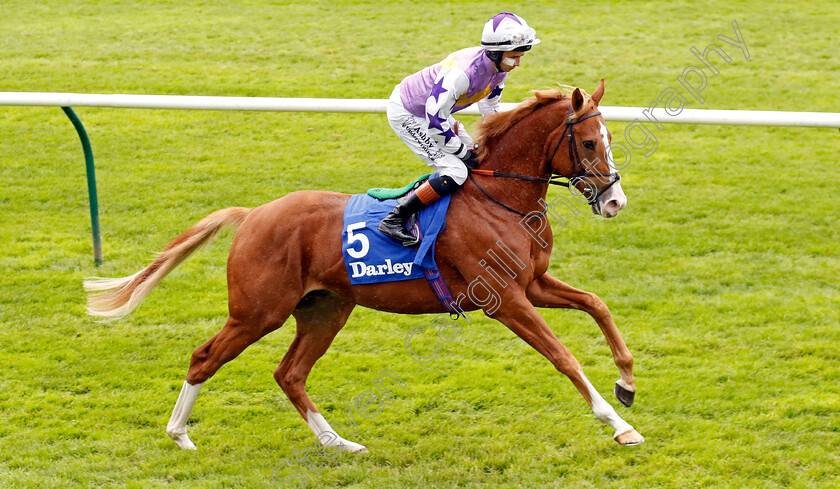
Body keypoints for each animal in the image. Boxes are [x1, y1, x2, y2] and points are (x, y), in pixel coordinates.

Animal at [83, 80, 644, 450]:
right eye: (589, 142)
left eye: (609, 139)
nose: (615, 201)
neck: (499, 197)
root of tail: (253, 214)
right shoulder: (504, 300)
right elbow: (564, 357)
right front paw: (618, 425)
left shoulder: (534, 283)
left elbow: (597, 305)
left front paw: (627, 384)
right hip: (257, 312)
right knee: (205, 358)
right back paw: (179, 433)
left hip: (324, 309)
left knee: (289, 373)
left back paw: (337, 443)